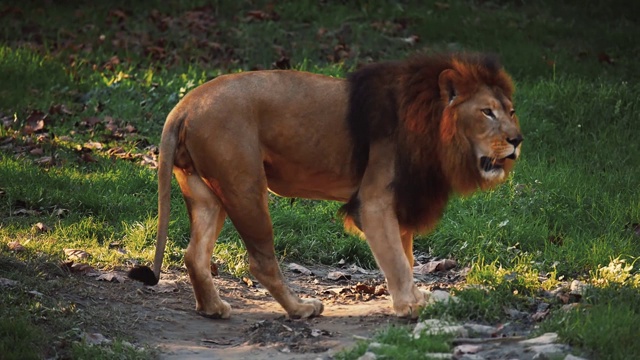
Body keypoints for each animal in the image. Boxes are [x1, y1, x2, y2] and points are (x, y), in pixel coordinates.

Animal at [127, 52, 524, 320]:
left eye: (511, 110)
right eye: (487, 112)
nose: (518, 140)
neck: (437, 131)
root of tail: (184, 105)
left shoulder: (402, 200)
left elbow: (406, 256)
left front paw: (417, 297)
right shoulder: (374, 201)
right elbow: (397, 260)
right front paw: (409, 306)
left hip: (206, 192)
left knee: (194, 254)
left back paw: (212, 308)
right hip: (245, 186)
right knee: (261, 262)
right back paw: (300, 308)